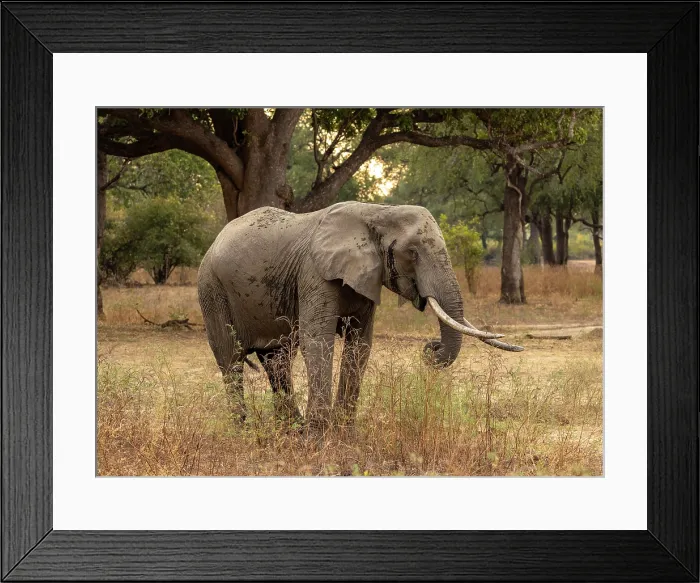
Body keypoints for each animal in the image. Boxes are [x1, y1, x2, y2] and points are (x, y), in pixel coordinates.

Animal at [197, 201, 522, 435]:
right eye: (412, 253)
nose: (432, 348)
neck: (378, 212)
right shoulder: (314, 273)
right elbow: (319, 343)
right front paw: (319, 437)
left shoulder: (367, 277)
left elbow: (360, 346)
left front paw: (344, 433)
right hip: (211, 289)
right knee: (231, 359)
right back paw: (245, 431)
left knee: (277, 360)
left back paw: (290, 430)